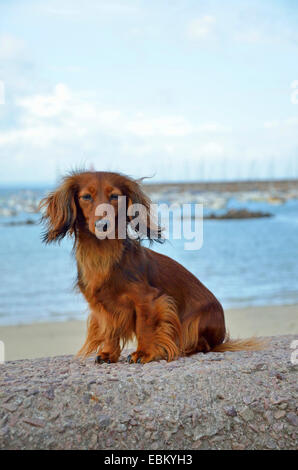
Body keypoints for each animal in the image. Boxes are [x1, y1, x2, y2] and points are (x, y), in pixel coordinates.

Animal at [39, 170, 264, 364]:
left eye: (115, 196)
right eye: (86, 196)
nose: (103, 225)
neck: (102, 254)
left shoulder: (148, 299)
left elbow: (144, 327)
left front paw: (143, 353)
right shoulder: (102, 307)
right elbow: (109, 330)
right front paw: (108, 354)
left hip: (197, 320)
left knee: (203, 345)